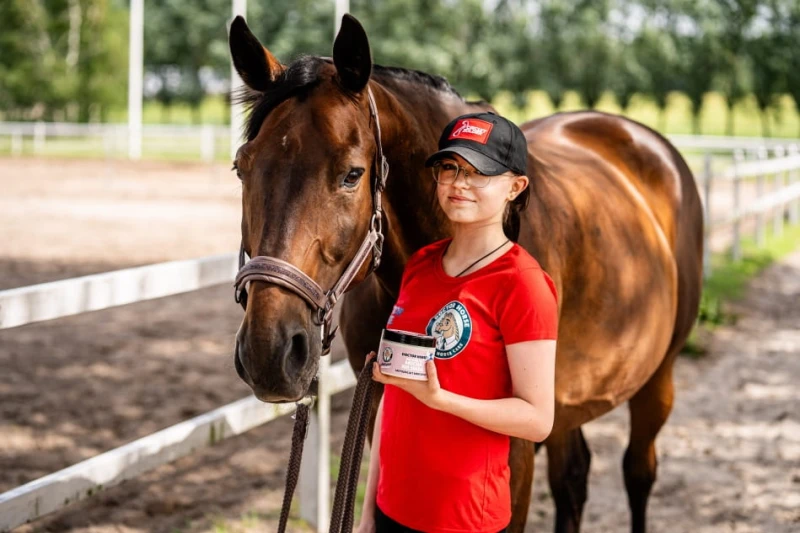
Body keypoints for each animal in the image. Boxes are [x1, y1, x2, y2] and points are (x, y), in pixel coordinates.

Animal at [228, 14, 703, 533]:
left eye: (352, 174)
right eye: (241, 168)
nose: (269, 353)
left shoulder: (518, 445)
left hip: (657, 376)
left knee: (638, 472)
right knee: (573, 481)